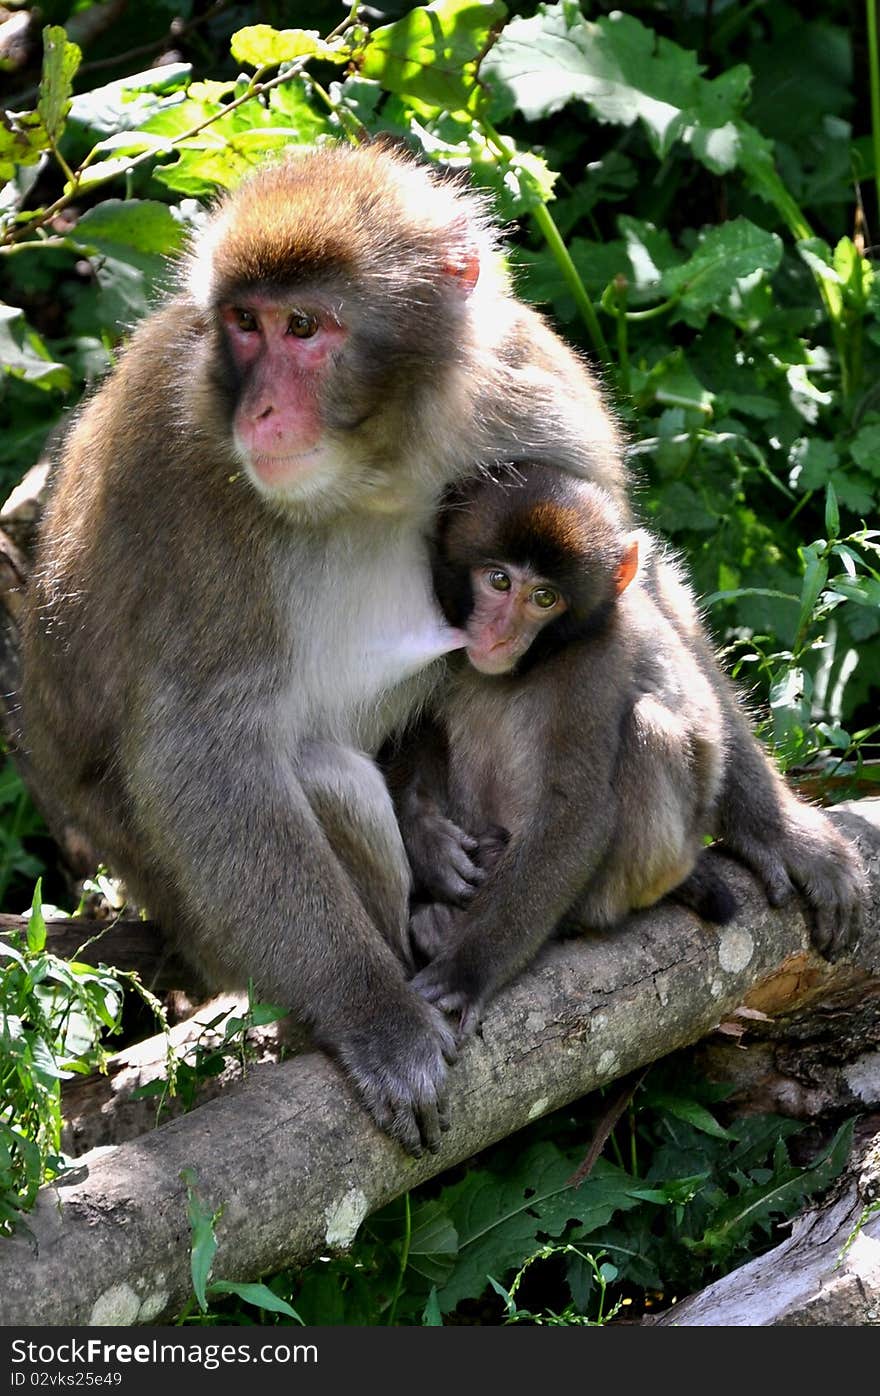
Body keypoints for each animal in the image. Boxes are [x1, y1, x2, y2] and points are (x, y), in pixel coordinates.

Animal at [22, 138, 871, 1144]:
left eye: (303, 326)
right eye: (243, 324)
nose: (257, 412)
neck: (375, 466)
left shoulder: (531, 387)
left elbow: (643, 577)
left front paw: (780, 829)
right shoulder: (188, 481)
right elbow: (202, 746)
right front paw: (375, 1017)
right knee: (323, 776)